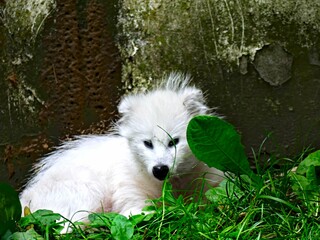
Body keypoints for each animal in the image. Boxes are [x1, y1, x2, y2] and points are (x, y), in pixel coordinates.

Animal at [19, 72, 222, 229]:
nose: (160, 169)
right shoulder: (130, 197)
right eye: (147, 143)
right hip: (86, 192)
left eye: (174, 142)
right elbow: (138, 212)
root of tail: (24, 202)